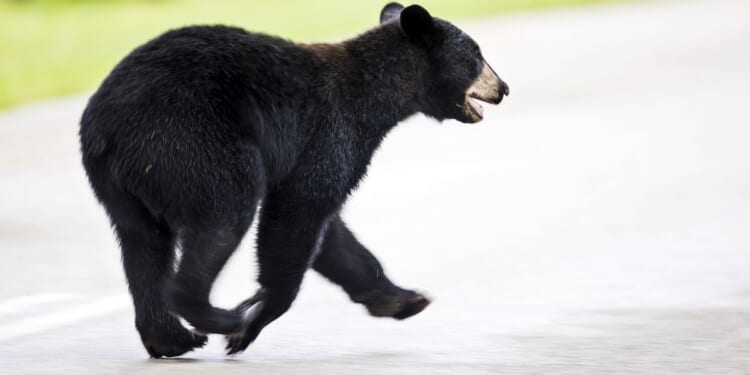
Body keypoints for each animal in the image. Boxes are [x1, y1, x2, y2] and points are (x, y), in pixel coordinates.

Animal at [79, 2, 508, 360]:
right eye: (476, 54)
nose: (503, 88)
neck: (378, 95)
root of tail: (106, 123)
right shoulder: (331, 131)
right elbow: (298, 213)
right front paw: (251, 323)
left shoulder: (317, 152)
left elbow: (332, 235)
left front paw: (402, 298)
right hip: (192, 142)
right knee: (224, 215)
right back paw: (218, 317)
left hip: (122, 182)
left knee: (143, 243)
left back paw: (170, 338)